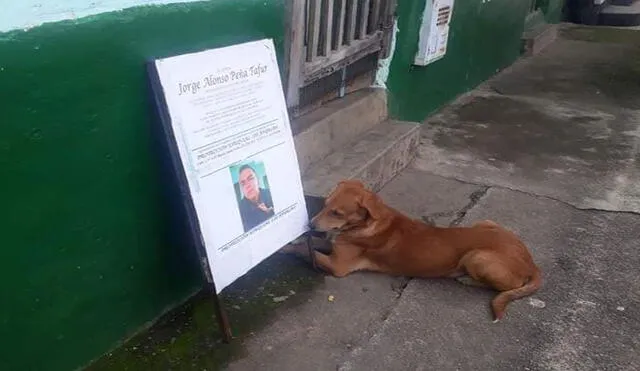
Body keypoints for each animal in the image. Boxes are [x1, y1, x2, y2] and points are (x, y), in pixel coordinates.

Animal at [288, 180, 544, 322]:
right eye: (325, 205)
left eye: (337, 213)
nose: (310, 224)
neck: (367, 224)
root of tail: (531, 263)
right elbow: (315, 246)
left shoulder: (338, 266)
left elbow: (307, 251)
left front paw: (289, 247)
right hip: (485, 222)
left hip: (477, 256)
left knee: (506, 286)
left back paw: (468, 280)